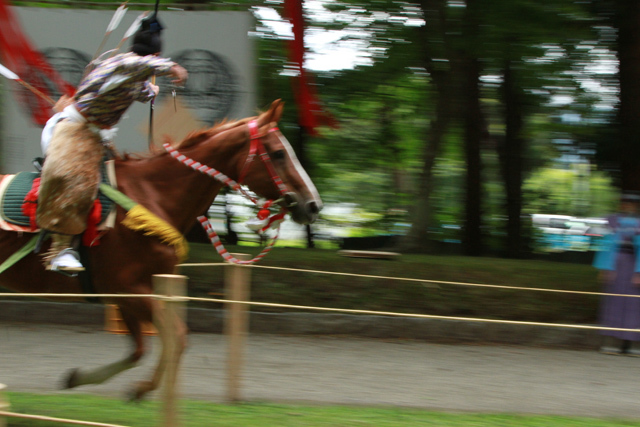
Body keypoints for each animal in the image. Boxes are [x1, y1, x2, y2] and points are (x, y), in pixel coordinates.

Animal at [0, 100, 322, 402]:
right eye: (279, 153)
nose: (313, 205)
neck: (152, 197)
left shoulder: (132, 292)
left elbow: (140, 348)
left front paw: (82, 378)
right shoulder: (128, 288)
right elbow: (177, 336)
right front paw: (143, 388)